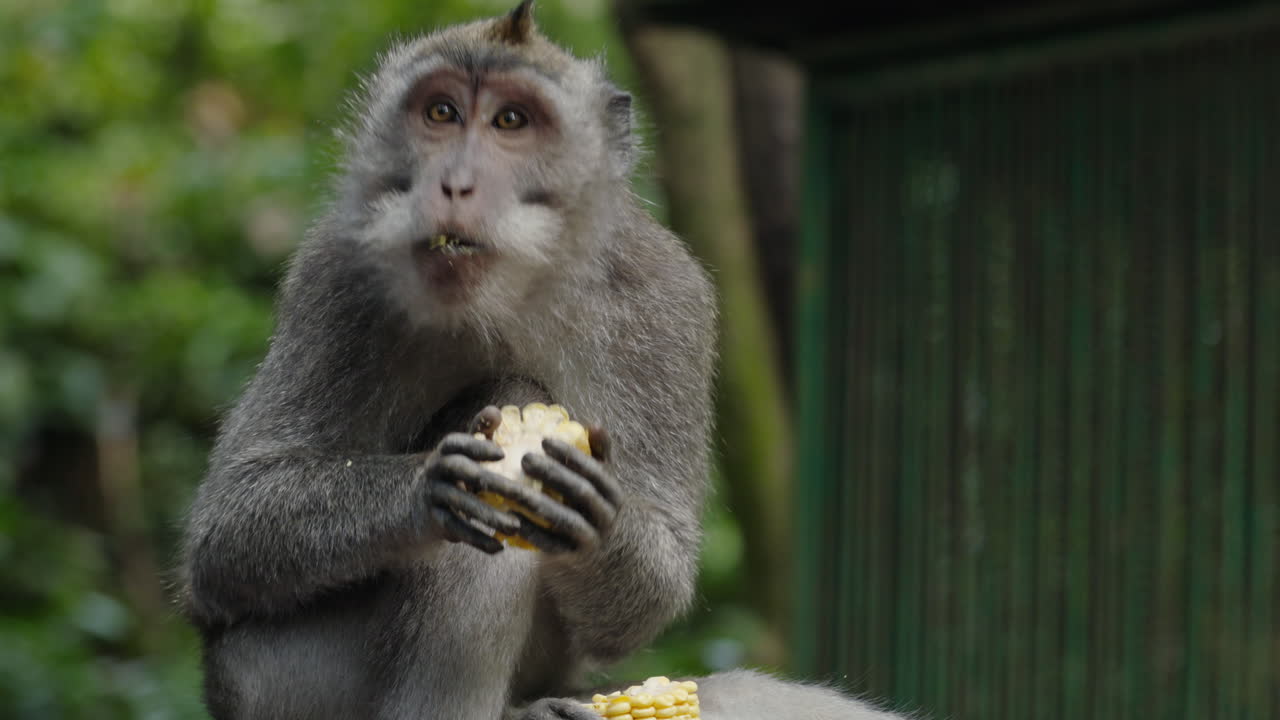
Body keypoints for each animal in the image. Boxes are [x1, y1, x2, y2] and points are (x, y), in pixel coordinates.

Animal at [178, 4, 910, 719]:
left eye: (511, 121)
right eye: (441, 113)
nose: (455, 184)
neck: (509, 294)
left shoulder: (665, 301)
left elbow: (663, 568)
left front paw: (600, 522)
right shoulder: (336, 274)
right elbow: (227, 532)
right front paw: (424, 488)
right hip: (273, 682)